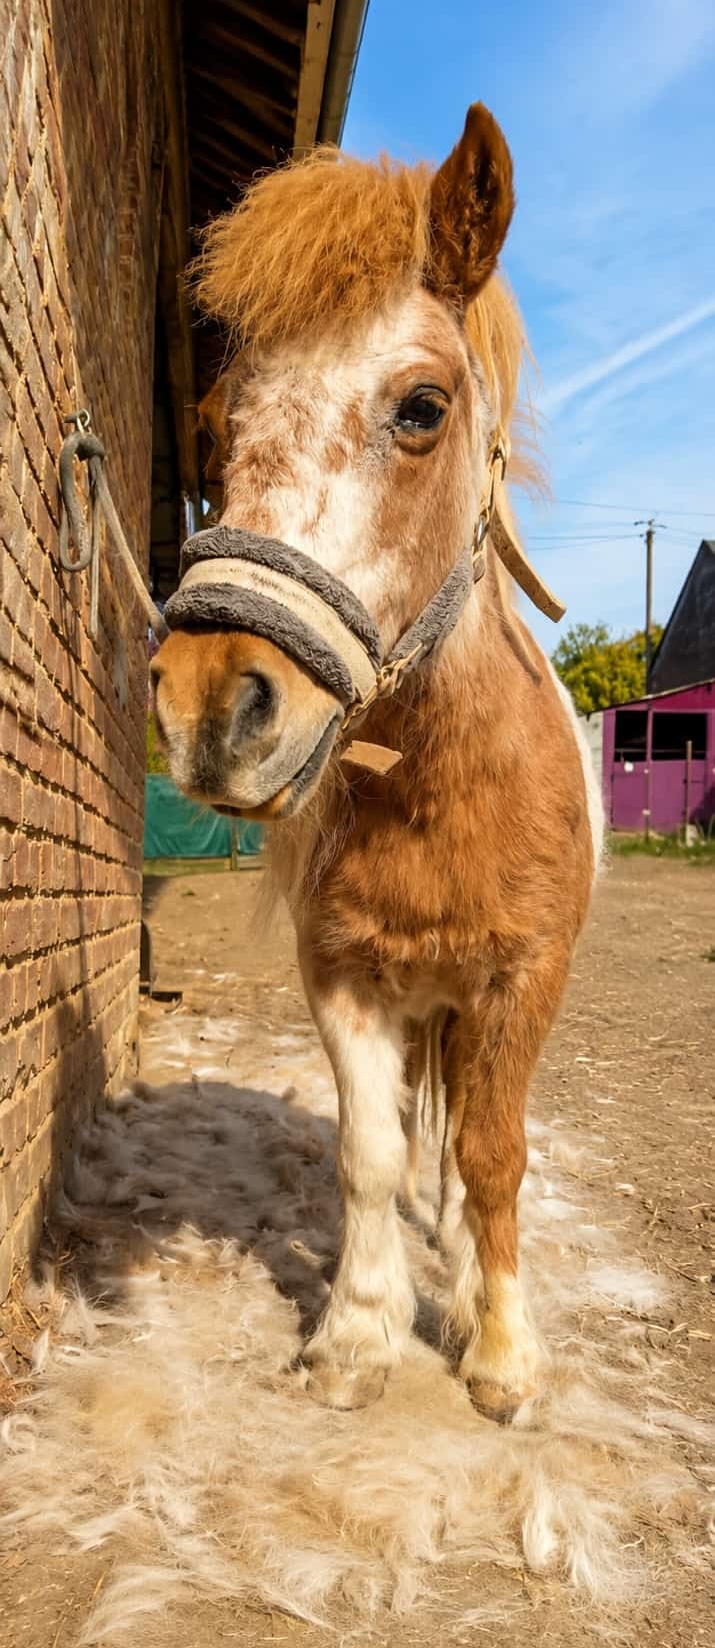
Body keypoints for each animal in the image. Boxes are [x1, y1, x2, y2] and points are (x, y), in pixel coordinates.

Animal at [151, 104, 603, 1423]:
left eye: (420, 408)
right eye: (217, 422)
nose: (211, 706)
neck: (443, 790)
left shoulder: (520, 982)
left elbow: (494, 1156)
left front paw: (499, 1353)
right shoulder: (344, 976)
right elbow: (366, 1150)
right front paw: (356, 1331)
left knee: (464, 1152)